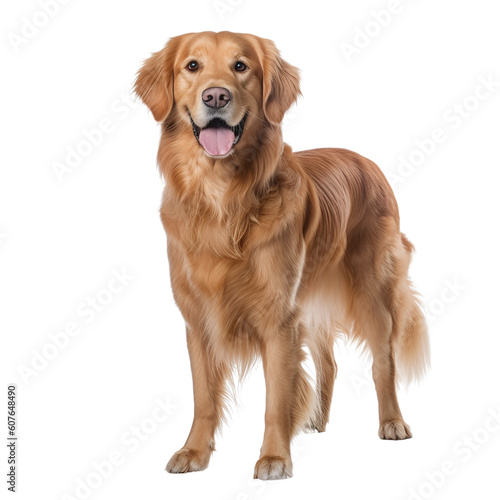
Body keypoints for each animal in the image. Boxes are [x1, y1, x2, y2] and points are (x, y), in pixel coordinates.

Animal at [134, 30, 430, 480]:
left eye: (241, 66)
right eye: (192, 66)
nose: (216, 96)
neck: (222, 198)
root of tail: (366, 161)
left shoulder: (278, 316)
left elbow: (277, 397)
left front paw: (274, 458)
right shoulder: (198, 321)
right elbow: (204, 398)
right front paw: (194, 452)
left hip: (372, 290)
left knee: (384, 360)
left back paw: (392, 422)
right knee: (329, 362)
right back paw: (318, 419)